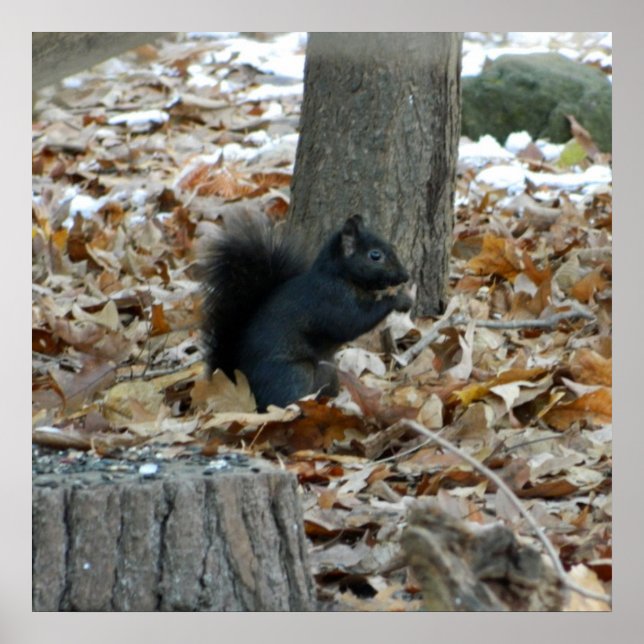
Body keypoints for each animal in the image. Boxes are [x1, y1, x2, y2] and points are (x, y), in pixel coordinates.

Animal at [201, 214, 412, 410]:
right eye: (375, 255)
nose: (405, 276)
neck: (340, 276)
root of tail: (239, 376)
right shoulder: (331, 300)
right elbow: (354, 322)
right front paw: (399, 299)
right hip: (293, 374)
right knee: (279, 401)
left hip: (329, 374)